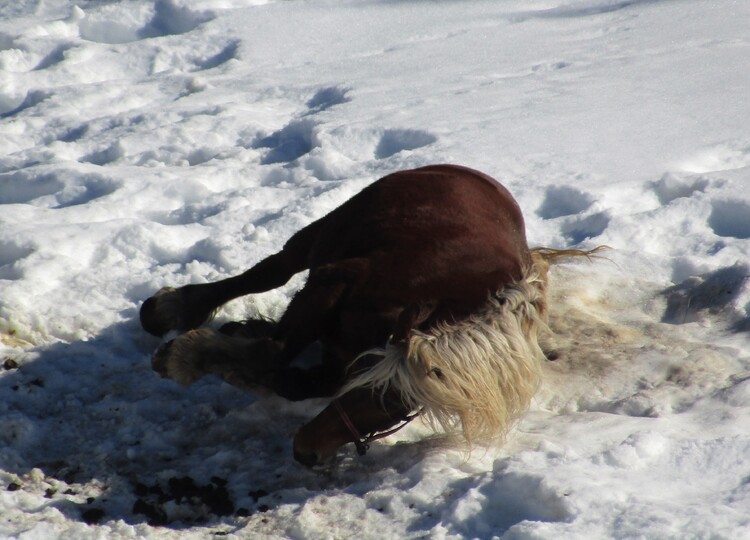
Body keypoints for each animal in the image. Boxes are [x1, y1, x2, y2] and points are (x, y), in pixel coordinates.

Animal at [138, 163, 592, 464]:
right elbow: (274, 350)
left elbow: (289, 376)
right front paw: (186, 357)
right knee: (269, 272)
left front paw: (233, 360)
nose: (307, 453)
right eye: (374, 390)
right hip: (322, 233)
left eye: (402, 410)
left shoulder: (335, 353)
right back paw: (173, 308)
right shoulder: (335, 279)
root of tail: (471, 174)